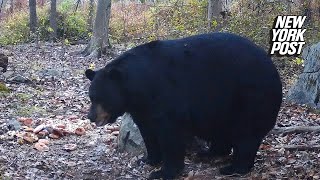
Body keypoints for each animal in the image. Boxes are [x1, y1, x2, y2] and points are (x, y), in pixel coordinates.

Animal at [85, 33, 282, 179]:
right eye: (91, 97)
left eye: (101, 98)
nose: (91, 117)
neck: (140, 86)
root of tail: (273, 69)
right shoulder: (143, 108)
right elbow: (148, 131)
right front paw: (148, 160)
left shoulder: (167, 96)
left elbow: (170, 133)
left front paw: (164, 172)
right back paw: (209, 153)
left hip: (251, 97)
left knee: (247, 134)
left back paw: (234, 168)